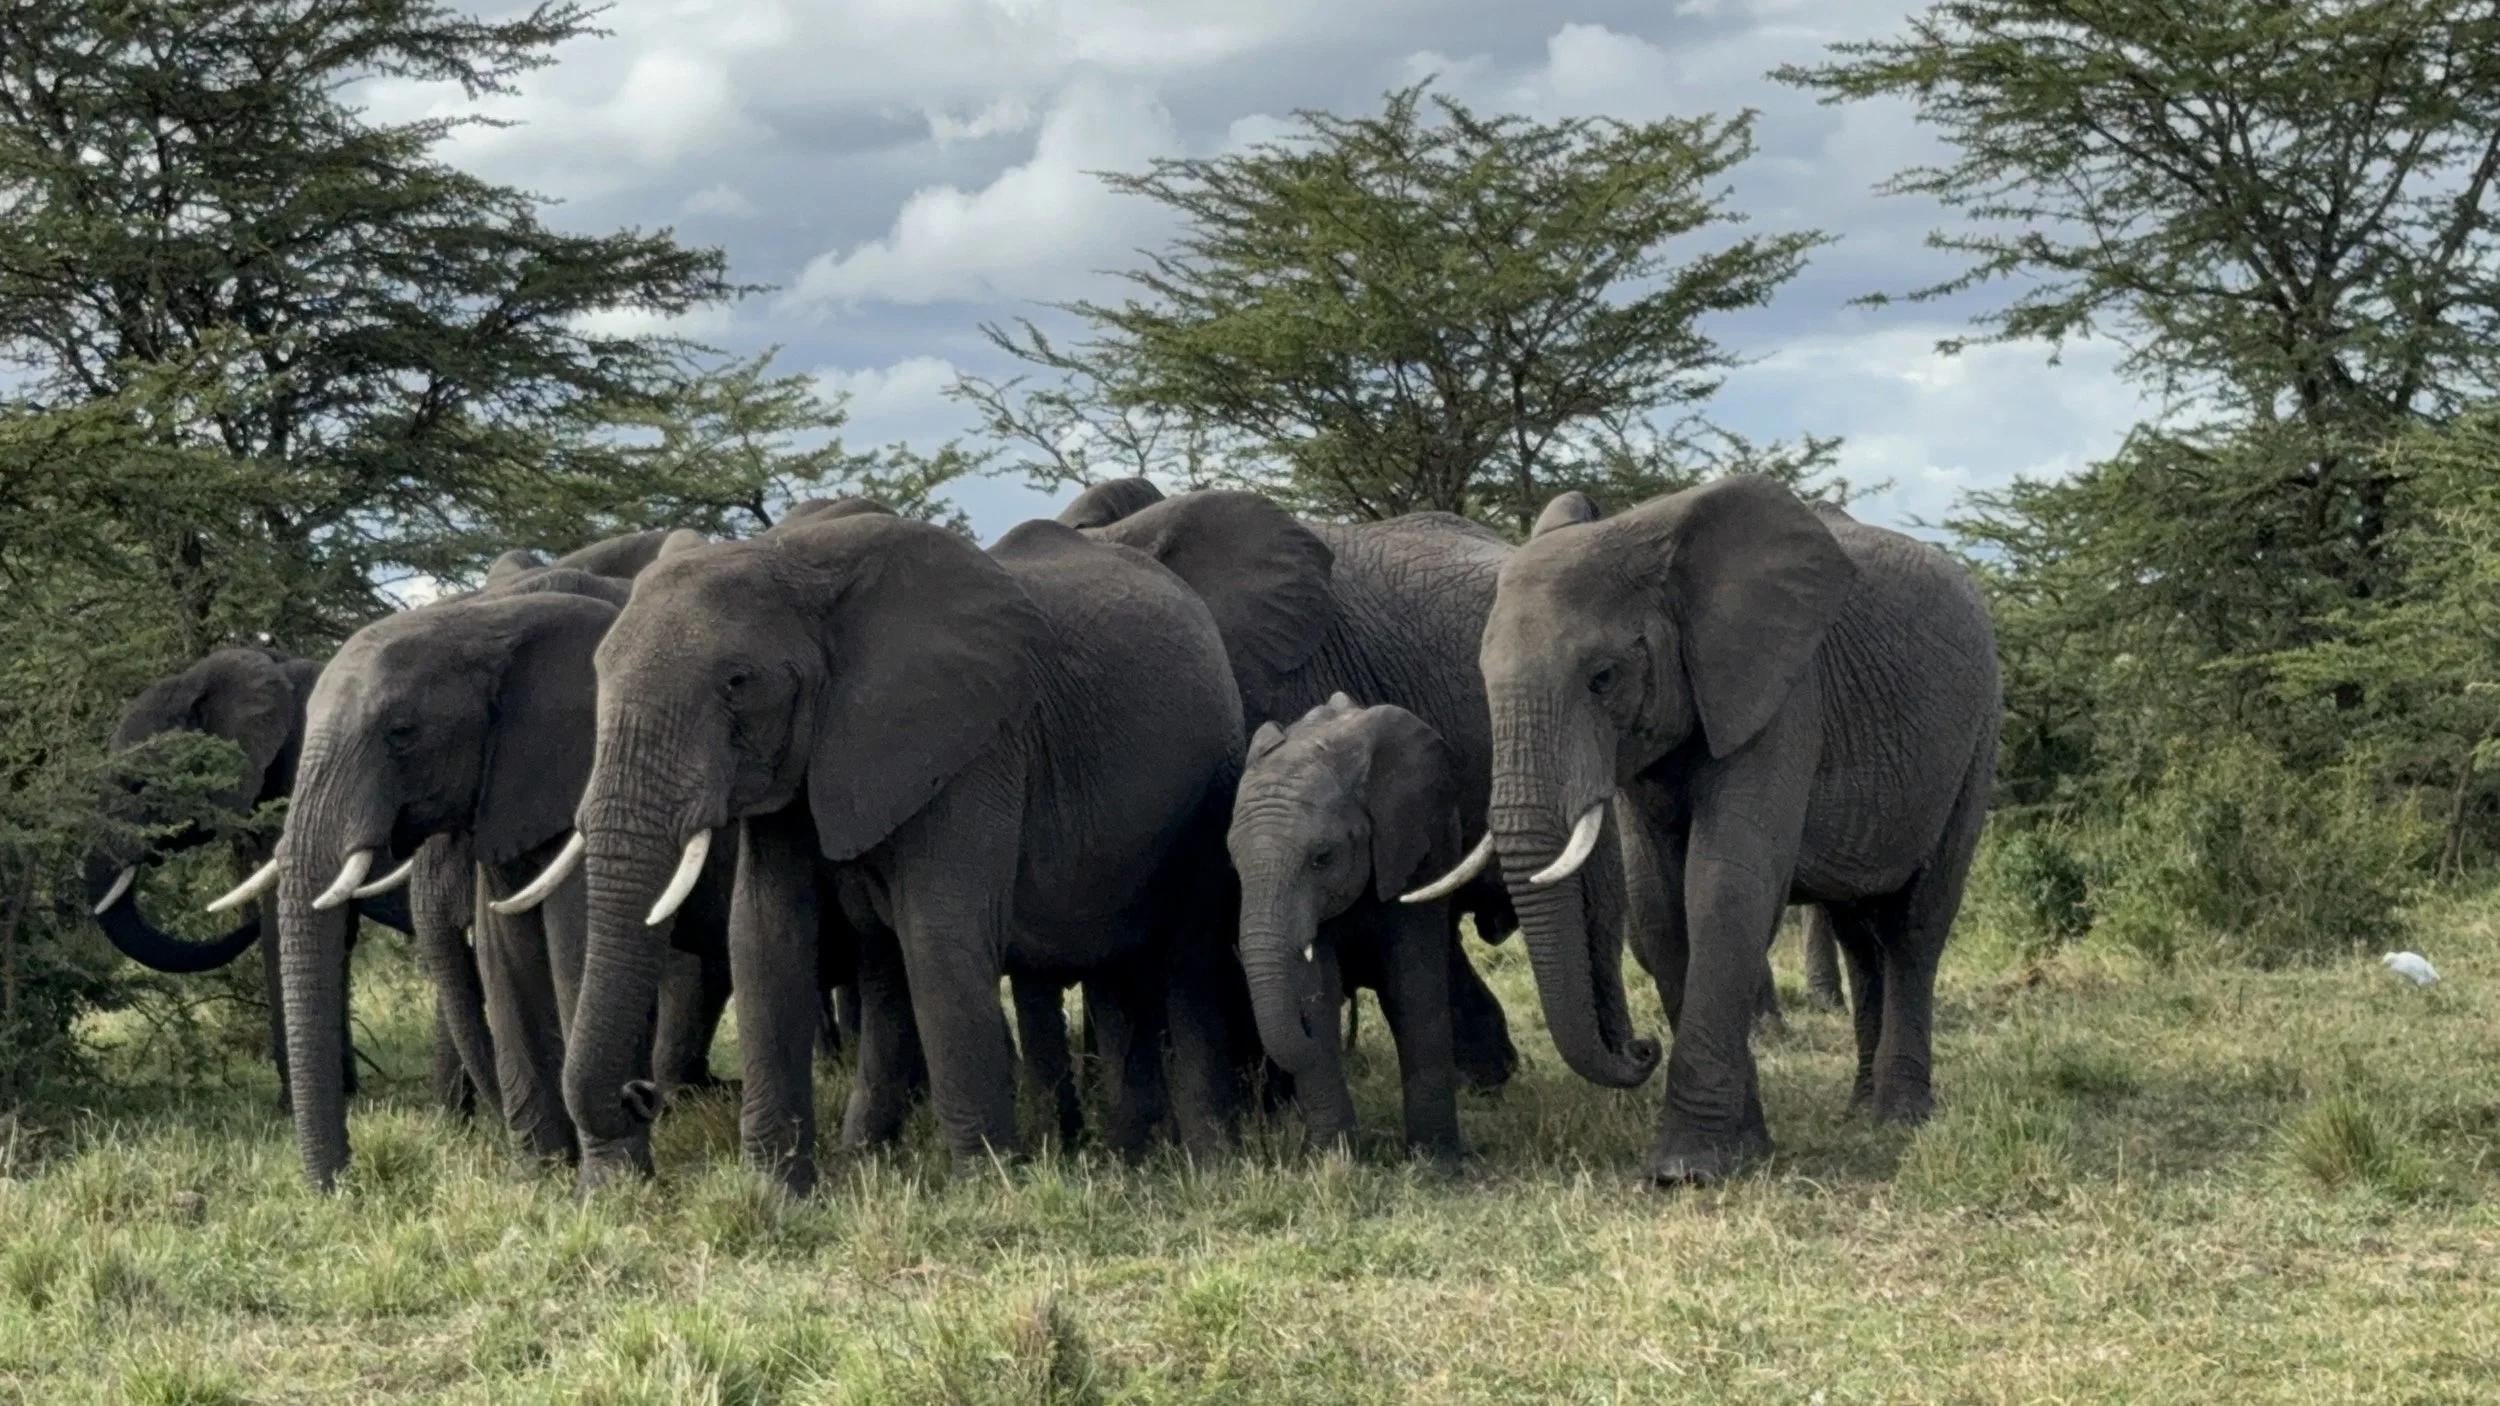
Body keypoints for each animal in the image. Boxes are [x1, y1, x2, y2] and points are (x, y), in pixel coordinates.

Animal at [262, 576, 734, 1188]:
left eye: (402, 734)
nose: (342, 1187)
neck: (487, 621)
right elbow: (505, 964)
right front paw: (537, 1179)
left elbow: (577, 953)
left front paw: (609, 1186)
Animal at [549, 513, 1247, 1195]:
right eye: (599, 669)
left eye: (738, 682)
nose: (640, 1096)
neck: (793, 563)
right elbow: (764, 934)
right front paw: (776, 1196)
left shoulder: (973, 746)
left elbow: (941, 937)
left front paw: (989, 1192)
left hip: (1208, 789)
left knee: (1184, 964)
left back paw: (1202, 1169)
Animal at [1230, 694, 1497, 1161]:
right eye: (1233, 861)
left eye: (1322, 858)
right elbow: (1320, 989)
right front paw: (1331, 1162)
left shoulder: (1413, 848)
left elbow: (1412, 985)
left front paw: (1435, 1163)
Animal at [1451, 475, 2000, 1185]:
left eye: (1603, 679)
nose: (1641, 1048)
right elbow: (1659, 911)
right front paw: (1743, 1149)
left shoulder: (1782, 693)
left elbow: (1724, 889)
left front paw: (1684, 1170)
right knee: (1858, 928)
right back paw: (1859, 1108)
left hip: (1978, 738)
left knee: (1914, 927)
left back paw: (1900, 1119)